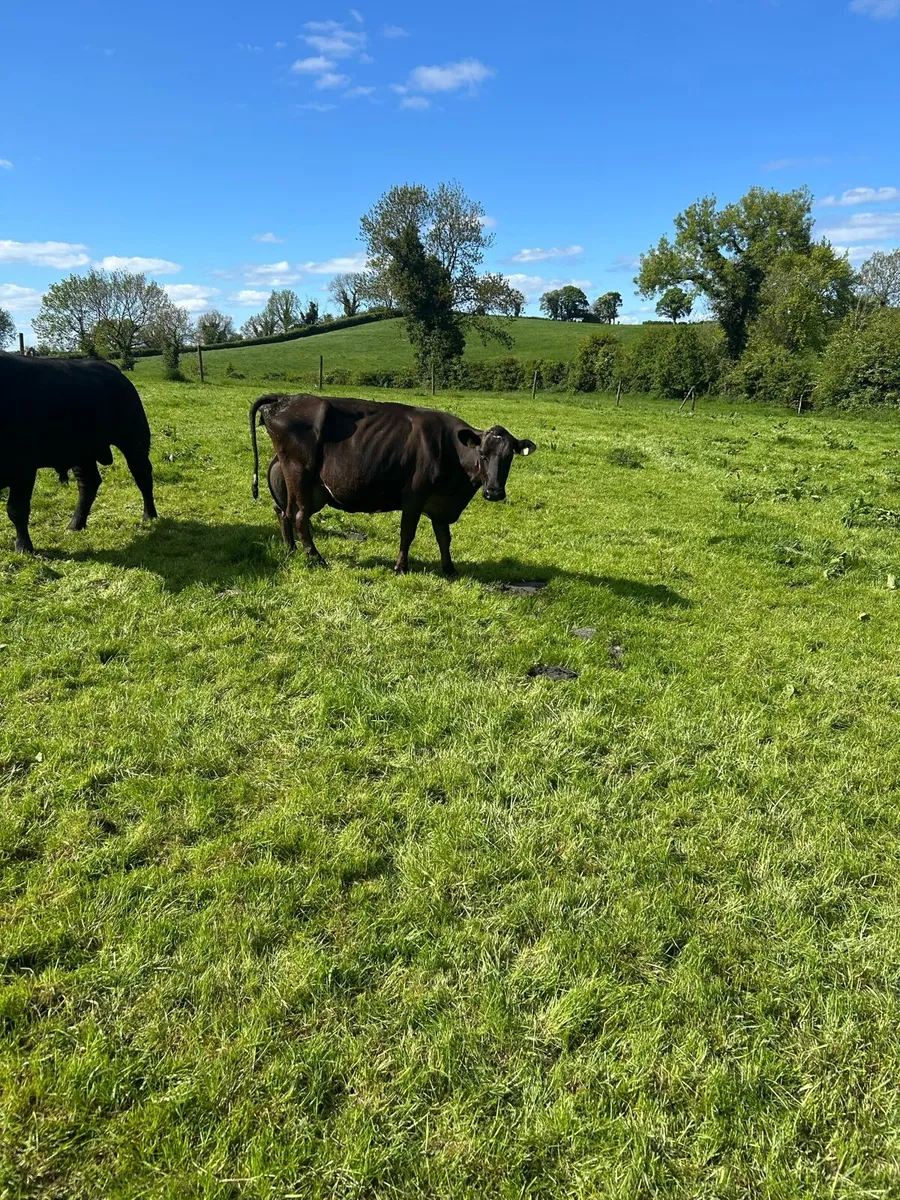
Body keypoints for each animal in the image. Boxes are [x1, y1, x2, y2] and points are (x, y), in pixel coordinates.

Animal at [0, 352, 157, 553]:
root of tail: (110, 368)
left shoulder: (24, 468)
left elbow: (16, 510)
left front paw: (23, 546)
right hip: (82, 454)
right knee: (88, 483)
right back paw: (75, 525)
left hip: (134, 440)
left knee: (143, 476)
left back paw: (149, 516)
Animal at [249, 392, 536, 576]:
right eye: (482, 454)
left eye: (508, 456)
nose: (494, 491)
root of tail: (285, 399)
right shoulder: (414, 497)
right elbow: (407, 533)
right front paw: (400, 567)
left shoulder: (440, 502)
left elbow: (444, 537)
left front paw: (450, 569)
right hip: (300, 474)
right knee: (298, 516)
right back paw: (317, 559)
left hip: (303, 485)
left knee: (284, 512)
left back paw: (291, 550)